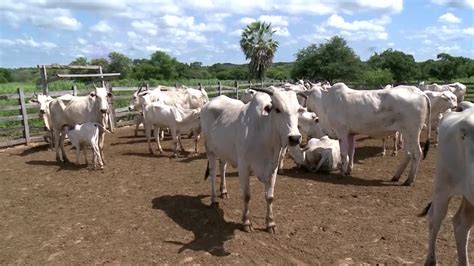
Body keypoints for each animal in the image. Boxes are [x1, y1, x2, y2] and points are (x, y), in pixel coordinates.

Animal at [200, 87, 304, 233]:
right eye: (277, 109)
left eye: (298, 110)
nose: (295, 138)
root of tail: (208, 104)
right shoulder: (244, 167)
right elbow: (247, 196)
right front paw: (246, 222)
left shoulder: (272, 169)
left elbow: (270, 197)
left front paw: (271, 223)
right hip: (210, 150)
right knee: (213, 173)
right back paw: (214, 199)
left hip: (223, 150)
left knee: (223, 167)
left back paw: (224, 191)